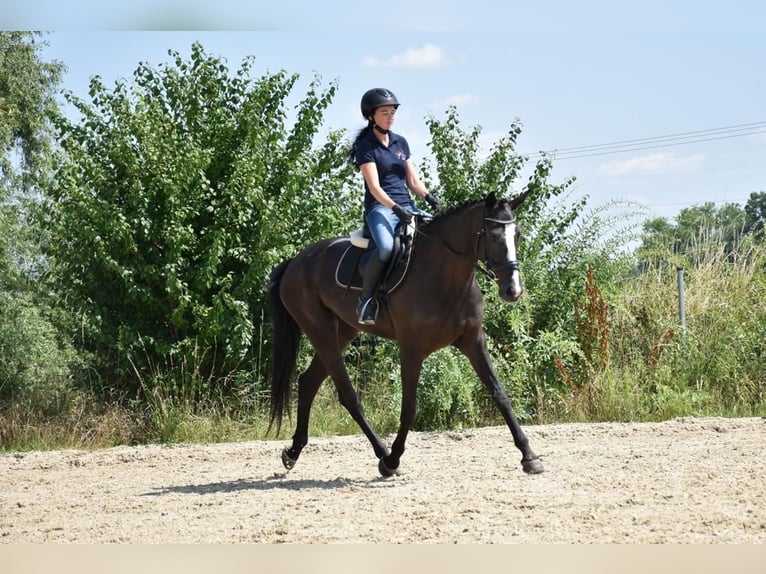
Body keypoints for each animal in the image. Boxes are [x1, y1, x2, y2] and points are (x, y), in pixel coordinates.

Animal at [270, 194, 544, 476]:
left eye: (517, 235)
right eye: (492, 236)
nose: (513, 290)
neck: (444, 275)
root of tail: (296, 261)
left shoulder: (473, 341)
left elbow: (500, 394)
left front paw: (529, 456)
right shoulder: (412, 349)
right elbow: (409, 409)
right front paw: (393, 459)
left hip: (343, 331)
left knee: (308, 382)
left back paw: (293, 452)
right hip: (320, 331)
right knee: (348, 395)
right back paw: (382, 453)